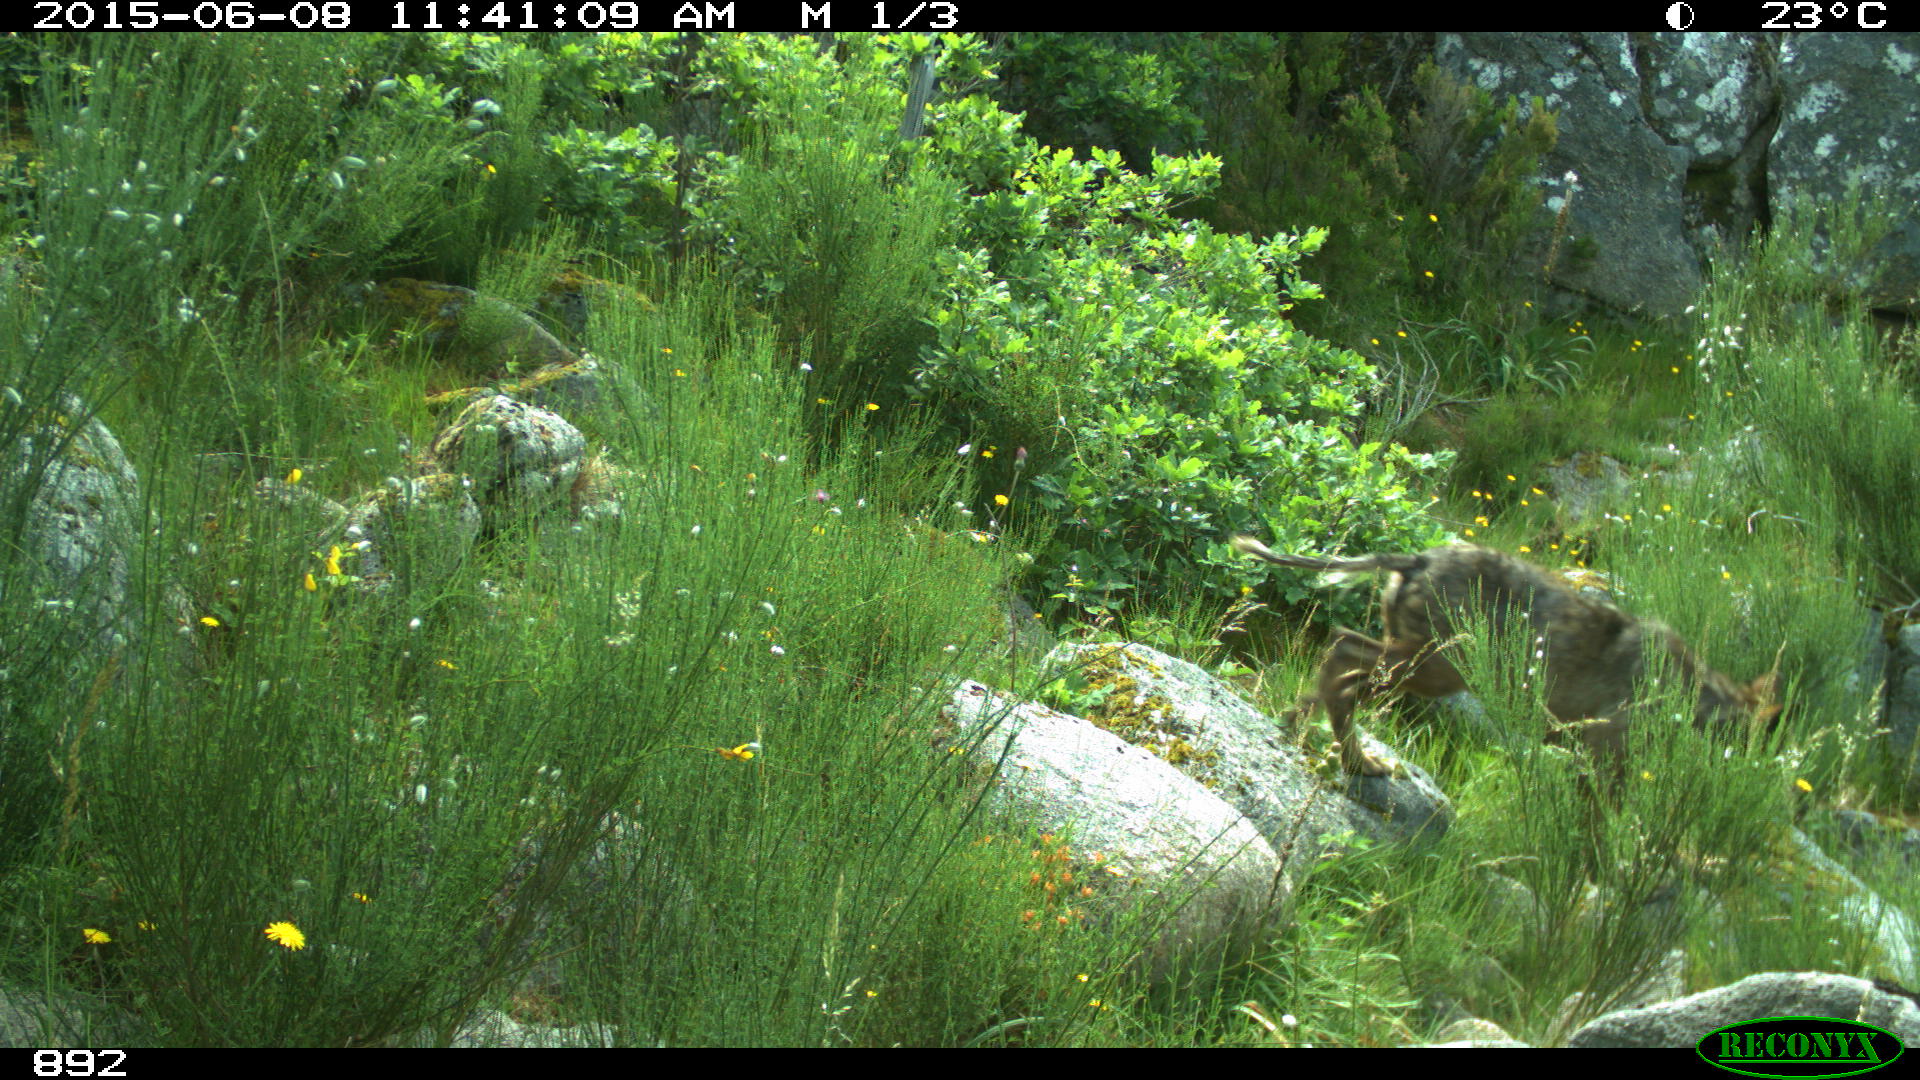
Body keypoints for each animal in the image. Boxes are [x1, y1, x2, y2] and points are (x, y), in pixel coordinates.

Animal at [1231, 535, 1782, 777]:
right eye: (1748, 741)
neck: (1696, 697)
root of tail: (1417, 558)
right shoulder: (1605, 747)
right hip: (1437, 667)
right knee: (1344, 655)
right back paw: (1352, 756)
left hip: (1422, 664)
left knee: (1342, 665)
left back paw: (1312, 730)